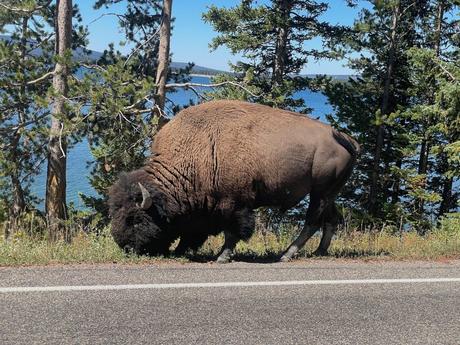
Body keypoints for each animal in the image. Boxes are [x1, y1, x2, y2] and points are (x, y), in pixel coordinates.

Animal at [108, 101, 360, 262]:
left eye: (135, 219)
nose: (126, 247)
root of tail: (342, 137)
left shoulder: (233, 203)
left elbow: (232, 231)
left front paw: (222, 257)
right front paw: (182, 250)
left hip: (319, 192)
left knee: (312, 221)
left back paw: (287, 254)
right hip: (328, 193)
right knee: (331, 219)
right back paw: (319, 252)